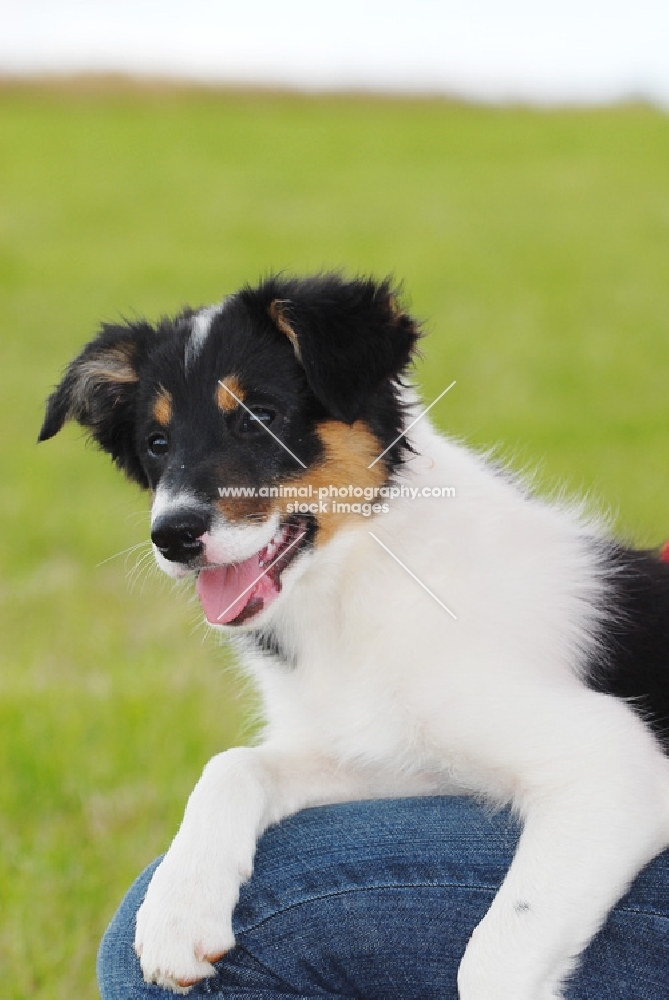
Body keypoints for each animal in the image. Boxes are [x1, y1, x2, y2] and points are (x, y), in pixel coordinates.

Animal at [39, 276, 664, 1000]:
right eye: (157, 442)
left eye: (260, 416)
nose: (173, 536)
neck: (359, 576)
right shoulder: (392, 757)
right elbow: (233, 763)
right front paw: (178, 911)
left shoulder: (612, 763)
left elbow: (493, 955)